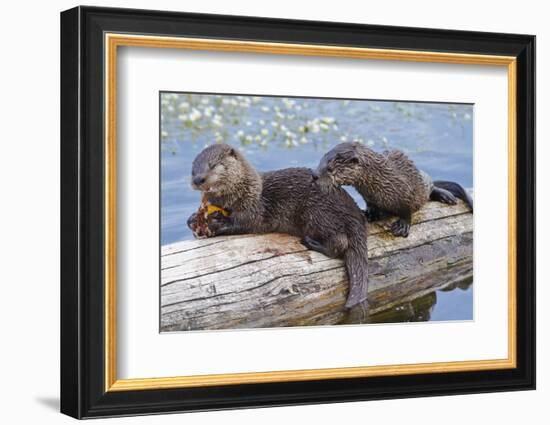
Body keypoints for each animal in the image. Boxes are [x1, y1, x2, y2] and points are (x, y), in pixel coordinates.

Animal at [188, 143, 374, 308]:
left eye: (213, 165)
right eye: (193, 169)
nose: (198, 179)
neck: (244, 191)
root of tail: (355, 214)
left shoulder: (253, 207)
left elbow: (244, 222)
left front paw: (218, 223)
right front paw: (192, 219)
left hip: (317, 213)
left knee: (340, 243)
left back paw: (311, 243)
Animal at [314, 142, 474, 235]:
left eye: (330, 169)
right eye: (320, 162)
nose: (314, 175)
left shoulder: (407, 192)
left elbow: (407, 211)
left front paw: (402, 225)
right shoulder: (369, 197)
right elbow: (371, 206)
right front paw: (369, 214)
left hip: (422, 182)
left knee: (431, 186)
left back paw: (446, 196)